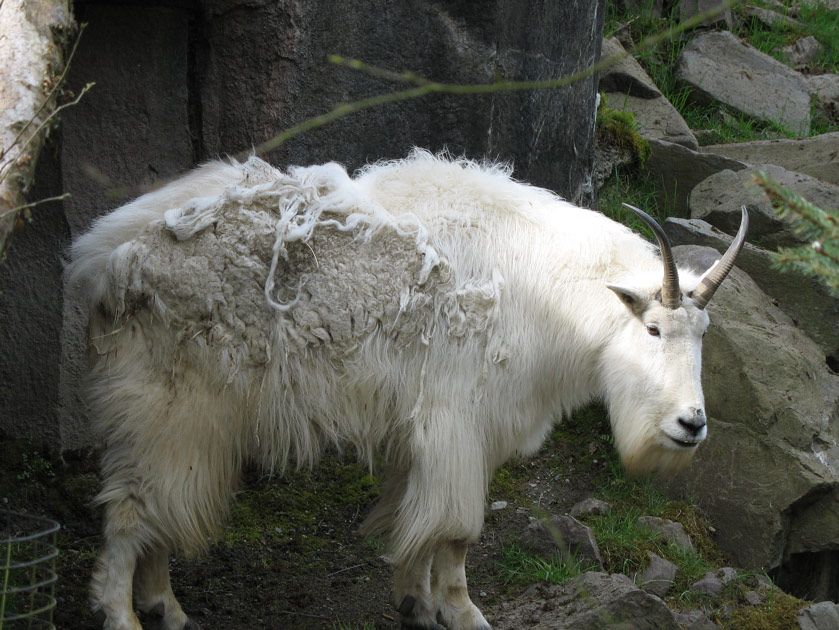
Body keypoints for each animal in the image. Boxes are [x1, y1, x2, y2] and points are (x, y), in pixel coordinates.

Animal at [70, 152, 748, 630]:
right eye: (654, 328)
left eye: (703, 334)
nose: (691, 424)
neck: (546, 288)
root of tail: (105, 265)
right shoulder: (459, 424)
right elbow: (456, 529)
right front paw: (463, 613)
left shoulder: (424, 437)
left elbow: (416, 524)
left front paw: (415, 604)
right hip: (167, 408)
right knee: (131, 510)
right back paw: (125, 614)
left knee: (155, 512)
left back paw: (166, 607)